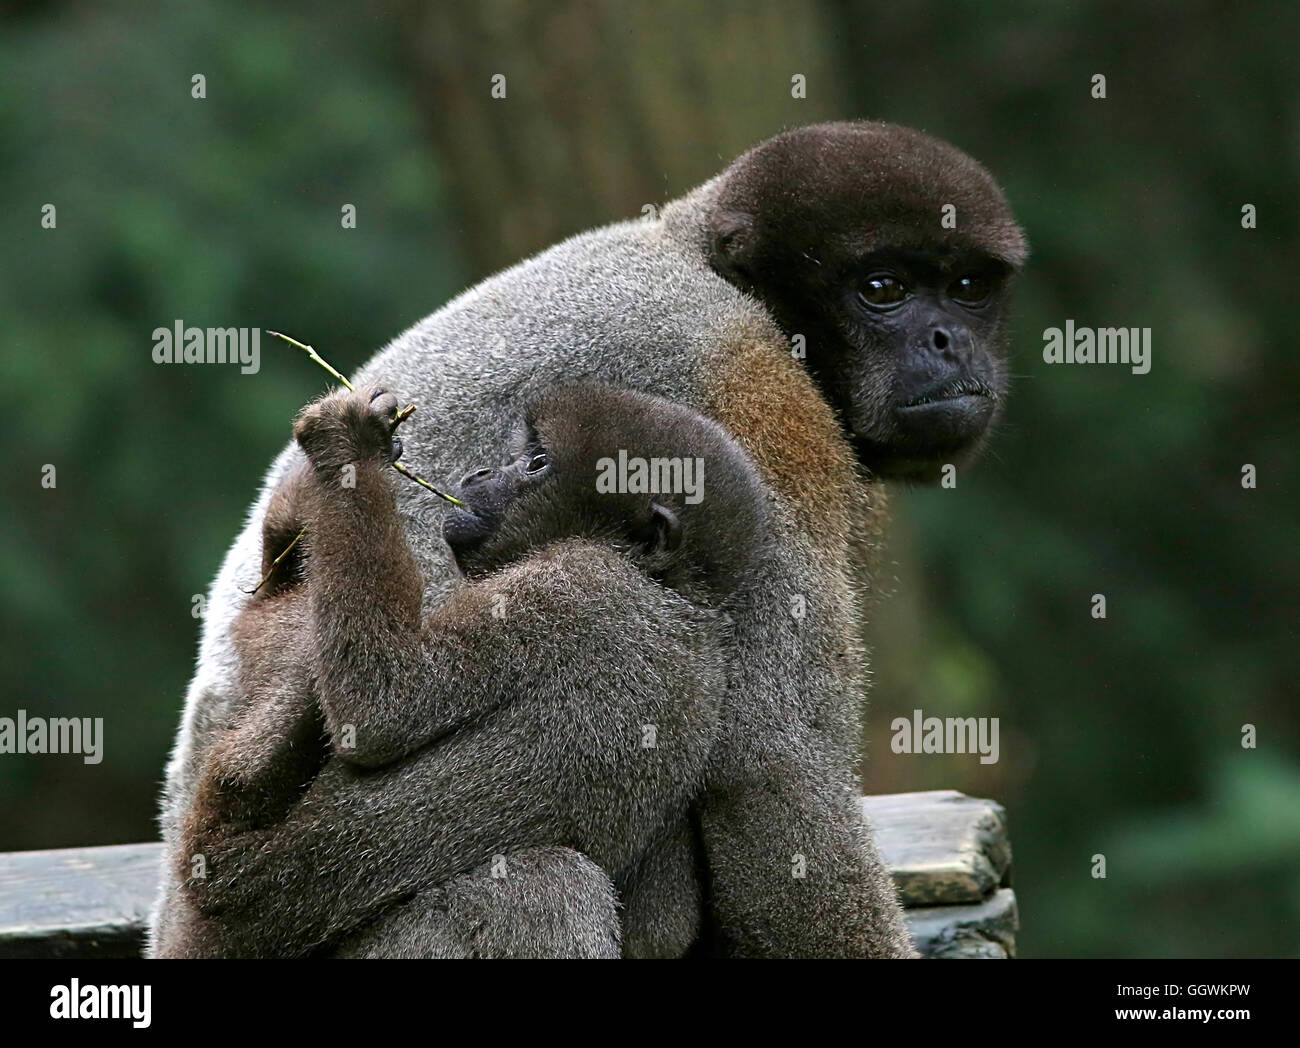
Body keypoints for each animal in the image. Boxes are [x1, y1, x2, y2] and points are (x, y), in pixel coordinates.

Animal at [162, 384, 769, 962]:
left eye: (537, 461)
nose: (479, 474)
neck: (674, 592)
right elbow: (664, 929)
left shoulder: (573, 583)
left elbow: (380, 705)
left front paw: (349, 446)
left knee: (544, 884)